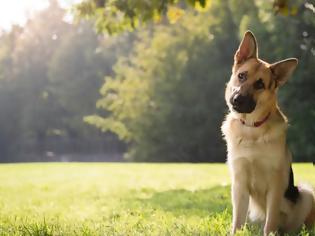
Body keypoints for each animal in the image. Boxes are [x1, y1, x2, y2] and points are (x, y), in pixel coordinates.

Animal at [222, 30, 315, 234]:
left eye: (260, 85)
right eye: (241, 76)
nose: (237, 99)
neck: (252, 129)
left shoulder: (275, 185)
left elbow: (271, 220)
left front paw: (270, 233)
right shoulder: (239, 184)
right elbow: (237, 221)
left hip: (305, 194)